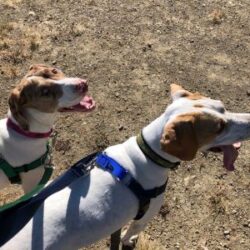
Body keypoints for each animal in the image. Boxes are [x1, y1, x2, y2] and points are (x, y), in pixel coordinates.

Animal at [2, 84, 250, 250]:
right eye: (219, 127)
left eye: (222, 106)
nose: (249, 120)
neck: (146, 153)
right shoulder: (146, 215)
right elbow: (130, 233)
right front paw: (129, 240)